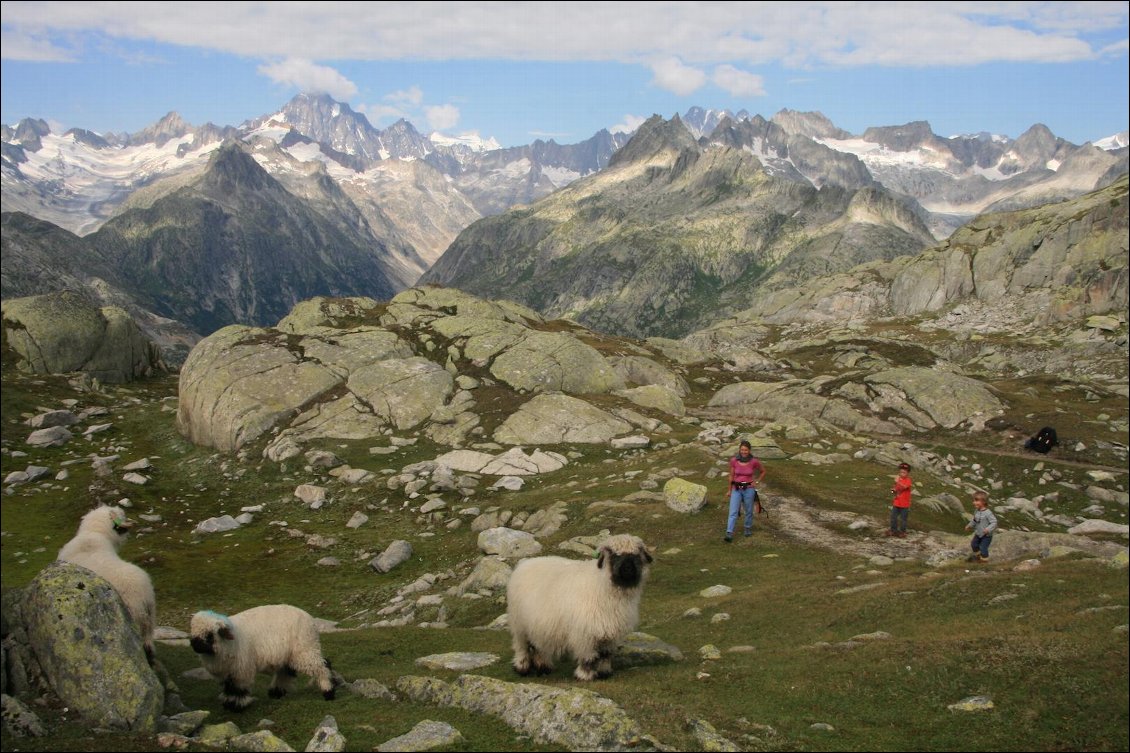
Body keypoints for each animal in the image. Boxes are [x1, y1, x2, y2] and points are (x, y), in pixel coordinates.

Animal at [189, 601, 336, 705]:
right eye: (193, 632)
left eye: (209, 635)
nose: (195, 646)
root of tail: (310, 619)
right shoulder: (227, 673)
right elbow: (229, 688)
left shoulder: (241, 670)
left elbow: (237, 690)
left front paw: (235, 706)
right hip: (291, 654)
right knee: (286, 672)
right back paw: (276, 693)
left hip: (304, 650)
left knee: (321, 667)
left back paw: (328, 692)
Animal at [506, 526, 655, 678]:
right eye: (614, 555)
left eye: (636, 555)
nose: (628, 569)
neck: (602, 585)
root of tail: (525, 563)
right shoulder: (584, 633)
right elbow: (588, 657)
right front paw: (585, 675)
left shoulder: (609, 632)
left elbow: (605, 655)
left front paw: (604, 672)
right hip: (519, 624)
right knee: (522, 647)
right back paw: (522, 668)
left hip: (537, 625)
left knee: (537, 646)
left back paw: (543, 668)